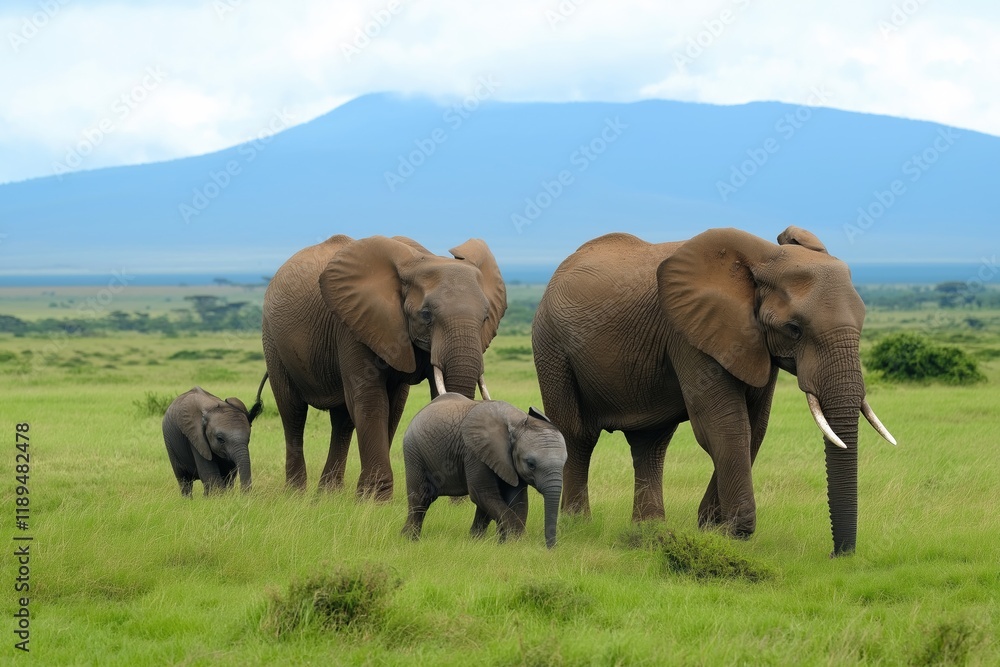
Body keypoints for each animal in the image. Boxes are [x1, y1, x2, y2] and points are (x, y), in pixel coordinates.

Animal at [259, 235, 506, 499]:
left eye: (485, 318)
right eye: (426, 315)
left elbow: (396, 405)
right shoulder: (355, 324)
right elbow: (371, 400)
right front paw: (374, 499)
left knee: (342, 419)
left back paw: (329, 494)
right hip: (272, 340)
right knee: (292, 411)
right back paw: (296, 493)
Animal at [401, 393, 568, 548]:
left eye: (565, 462)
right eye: (531, 464)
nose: (550, 549)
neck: (517, 421)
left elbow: (517, 499)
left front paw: (507, 544)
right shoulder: (475, 451)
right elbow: (482, 493)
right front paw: (514, 543)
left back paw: (475, 540)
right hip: (414, 451)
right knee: (421, 497)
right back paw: (410, 539)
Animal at [532, 227, 896, 556]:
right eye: (794, 329)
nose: (839, 554)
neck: (762, 260)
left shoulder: (752, 341)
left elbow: (754, 428)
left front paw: (711, 528)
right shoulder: (690, 333)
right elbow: (723, 425)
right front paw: (732, 531)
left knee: (650, 444)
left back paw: (649, 532)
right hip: (551, 346)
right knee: (578, 434)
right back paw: (578, 526)